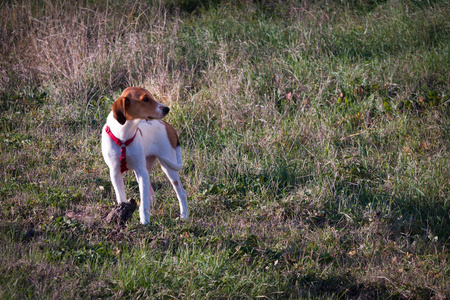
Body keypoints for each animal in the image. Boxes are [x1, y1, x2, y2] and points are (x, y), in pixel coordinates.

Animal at [102, 85, 188, 224]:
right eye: (145, 99)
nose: (167, 109)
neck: (123, 136)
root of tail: (167, 125)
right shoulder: (115, 172)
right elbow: (121, 198)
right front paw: (121, 214)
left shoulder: (141, 171)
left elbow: (144, 202)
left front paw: (144, 222)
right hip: (148, 168)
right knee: (151, 195)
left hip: (168, 167)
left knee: (181, 193)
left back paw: (184, 215)